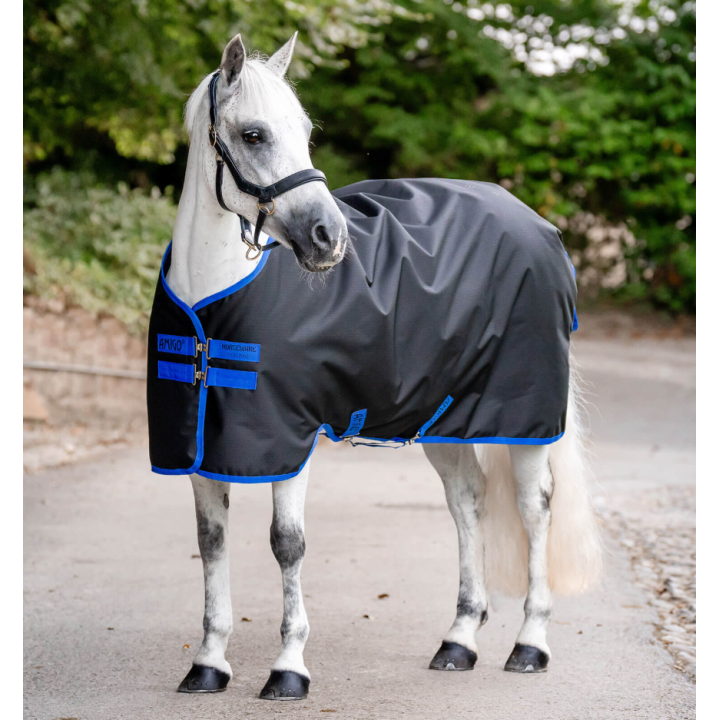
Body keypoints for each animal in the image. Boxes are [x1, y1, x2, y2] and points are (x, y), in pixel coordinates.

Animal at [156, 32, 602, 700]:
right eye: (254, 134)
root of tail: (540, 226)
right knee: (468, 501)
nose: (329, 236)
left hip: (525, 421)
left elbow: (287, 545)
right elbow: (212, 545)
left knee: (535, 508)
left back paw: (530, 644)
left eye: (305, 131)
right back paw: (459, 641)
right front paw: (208, 663)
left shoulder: (290, 441)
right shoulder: (203, 448)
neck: (213, 304)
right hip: (445, 421)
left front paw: (289, 668)